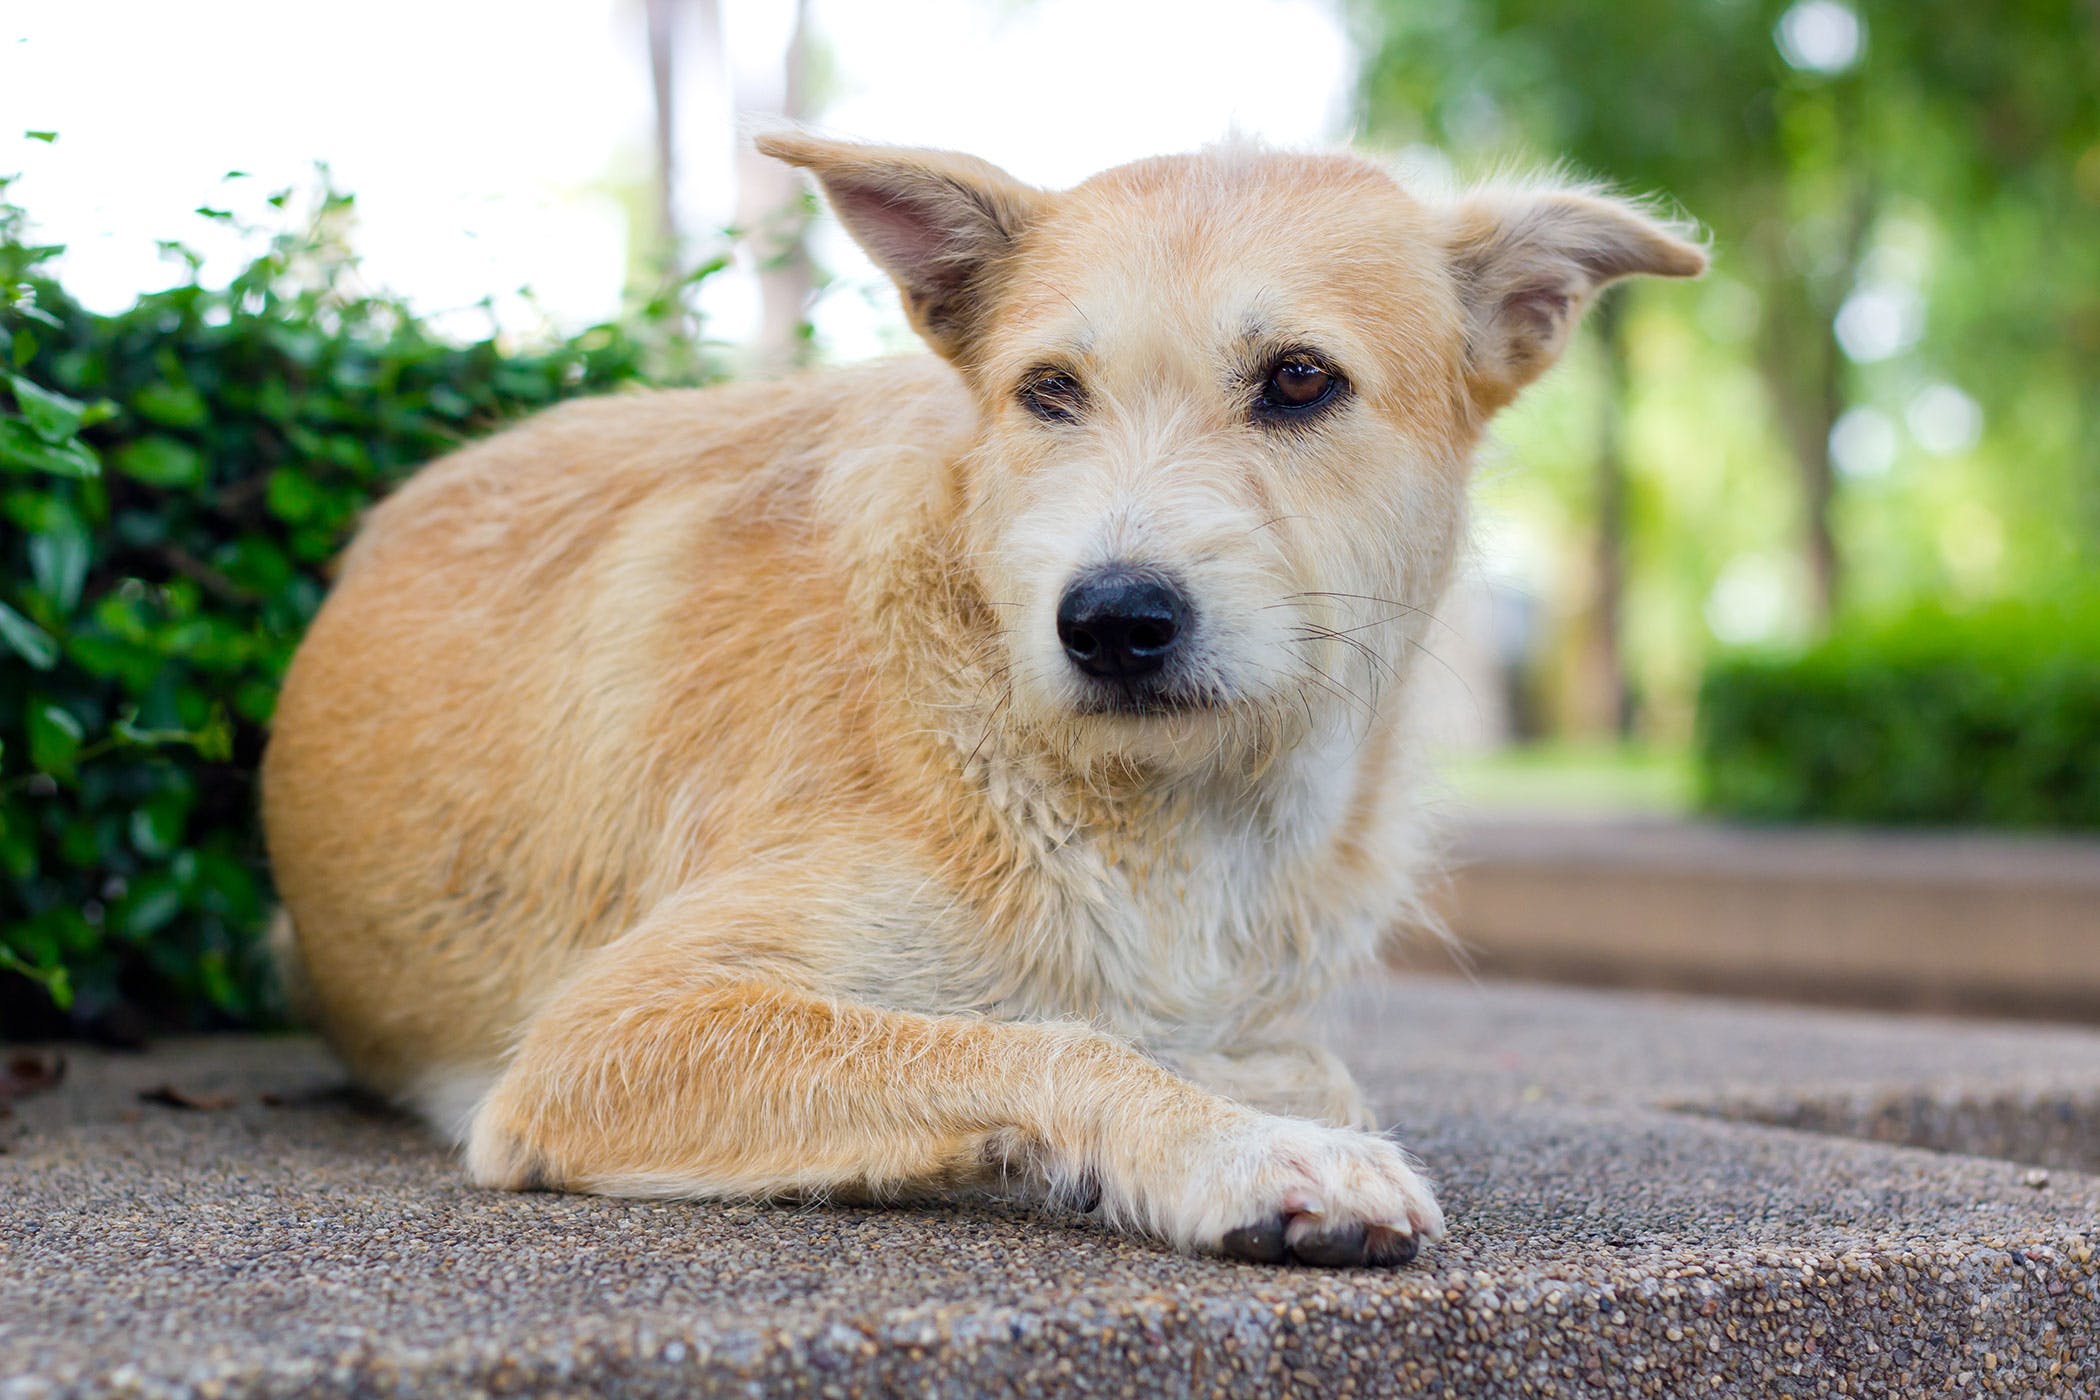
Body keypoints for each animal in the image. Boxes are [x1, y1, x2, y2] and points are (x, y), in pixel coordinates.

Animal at [262, 134, 1705, 1267]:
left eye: (1301, 379)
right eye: (1049, 390)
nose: (1110, 620)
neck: (1166, 815)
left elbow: (1271, 1055)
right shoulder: (601, 1038)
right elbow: (1036, 1040)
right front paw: (1237, 1154)